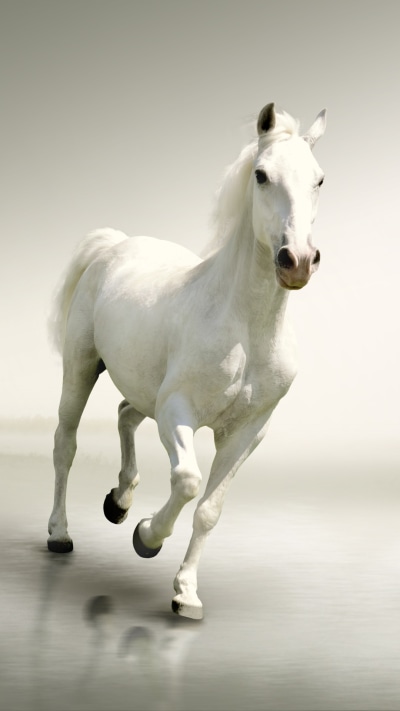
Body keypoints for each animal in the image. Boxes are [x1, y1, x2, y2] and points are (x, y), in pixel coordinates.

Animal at [47, 102, 327, 620]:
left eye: (319, 179)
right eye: (261, 175)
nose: (297, 260)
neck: (246, 329)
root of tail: (115, 244)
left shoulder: (247, 432)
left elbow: (210, 509)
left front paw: (186, 594)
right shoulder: (178, 412)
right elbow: (188, 481)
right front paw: (146, 537)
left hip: (143, 389)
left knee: (125, 413)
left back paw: (119, 501)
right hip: (80, 368)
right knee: (65, 444)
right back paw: (60, 533)